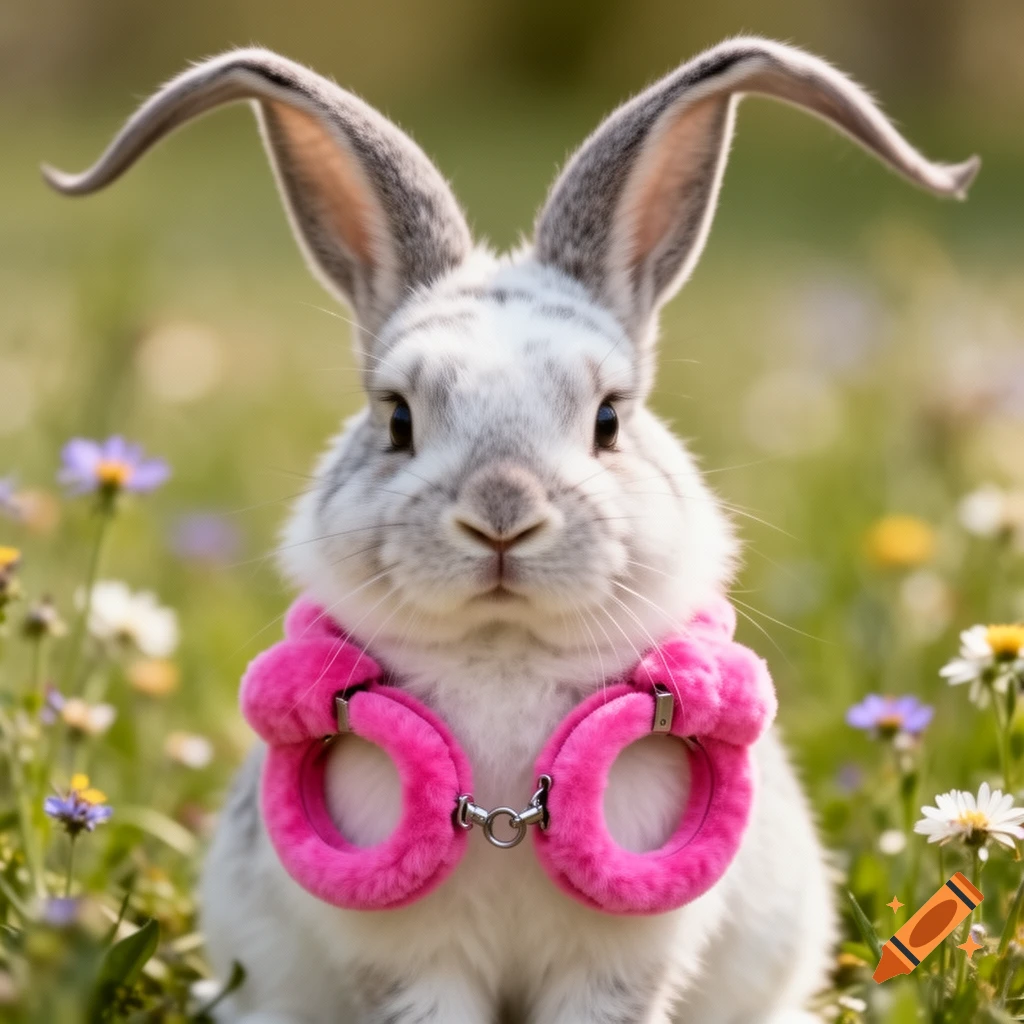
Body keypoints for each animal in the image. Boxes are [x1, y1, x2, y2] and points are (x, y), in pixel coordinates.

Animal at [45, 36, 979, 1024]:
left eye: (609, 419)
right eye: (398, 419)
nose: (502, 514)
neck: (504, 655)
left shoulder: (617, 960)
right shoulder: (411, 958)